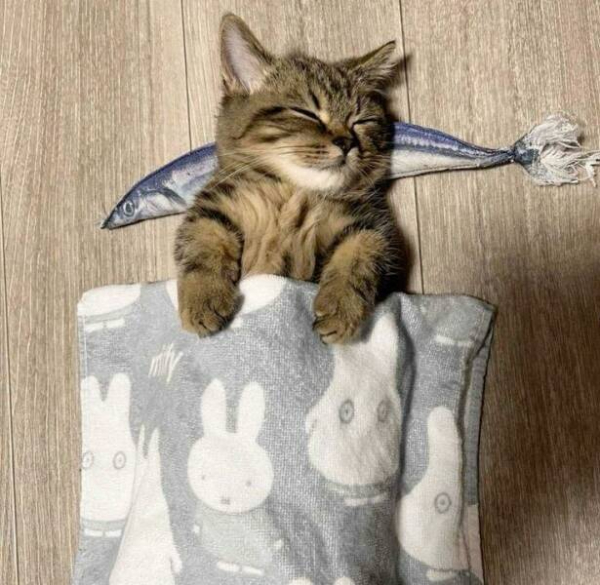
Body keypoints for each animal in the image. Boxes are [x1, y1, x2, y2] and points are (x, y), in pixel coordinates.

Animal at [175, 13, 403, 343]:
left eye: (361, 121)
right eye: (307, 113)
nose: (347, 142)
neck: (292, 193)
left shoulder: (373, 225)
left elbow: (361, 254)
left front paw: (340, 308)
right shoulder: (213, 206)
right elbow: (203, 242)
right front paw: (204, 297)